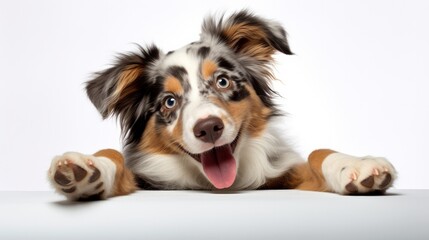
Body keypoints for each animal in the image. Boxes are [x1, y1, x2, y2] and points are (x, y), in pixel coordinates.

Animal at [46, 9, 394, 201]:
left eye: (223, 82)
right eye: (169, 101)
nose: (209, 128)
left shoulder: (282, 174)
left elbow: (317, 153)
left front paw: (359, 166)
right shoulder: (148, 180)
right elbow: (112, 155)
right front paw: (84, 168)